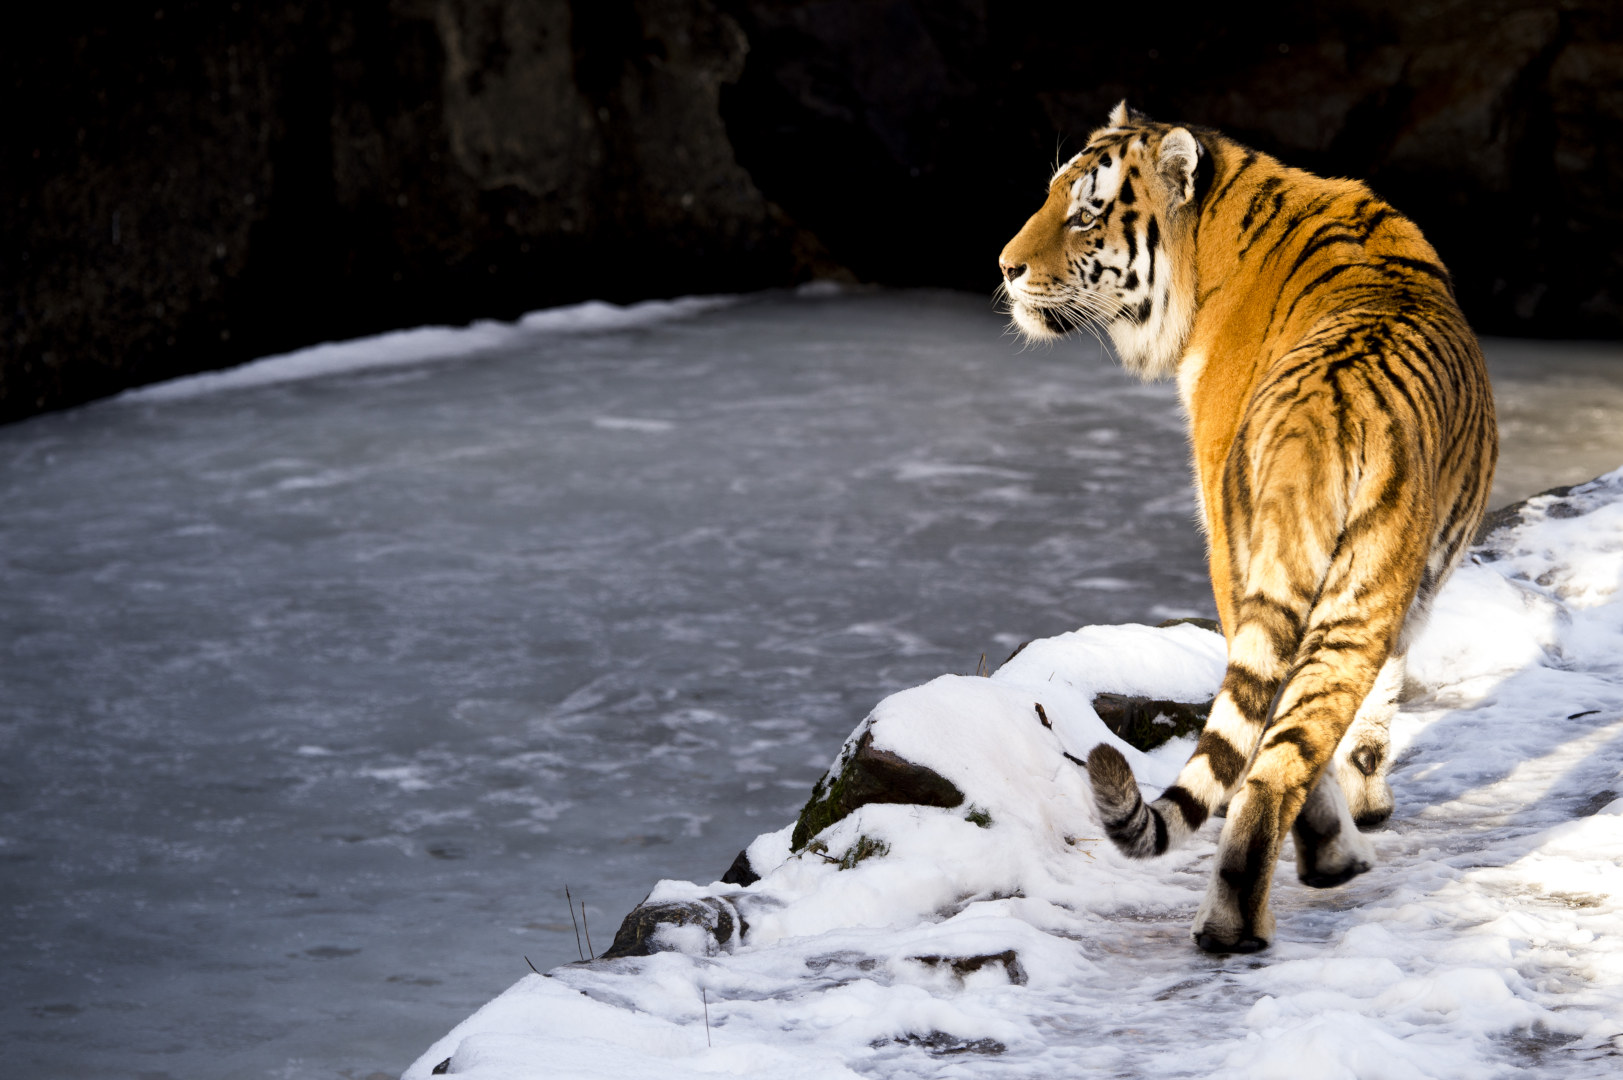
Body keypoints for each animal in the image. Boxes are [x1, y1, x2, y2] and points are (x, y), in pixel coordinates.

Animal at [993, 105, 1499, 954]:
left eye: (1085, 214)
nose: (1004, 268)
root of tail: (1325, 411)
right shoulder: (1410, 593)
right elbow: (1375, 712)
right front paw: (1371, 804)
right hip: (1362, 591)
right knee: (1294, 743)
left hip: (1258, 566)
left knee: (1275, 756)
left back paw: (1256, 904)